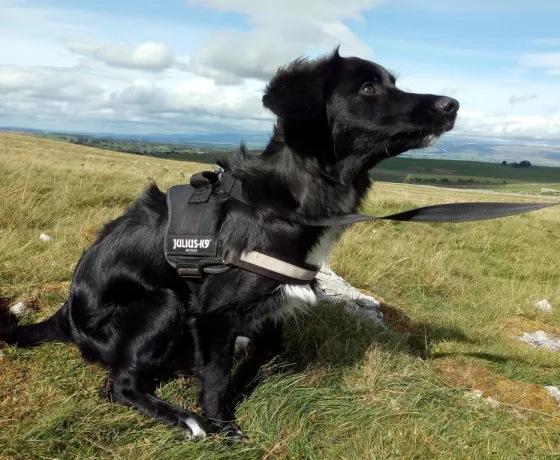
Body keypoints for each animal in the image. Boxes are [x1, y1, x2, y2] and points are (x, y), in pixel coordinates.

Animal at [1, 48, 460, 440]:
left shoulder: (273, 305)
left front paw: (246, 371)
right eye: (369, 88)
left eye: (392, 82)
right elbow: (218, 378)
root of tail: (66, 314)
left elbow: (265, 351)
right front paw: (222, 424)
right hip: (164, 303)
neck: (290, 199)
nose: (452, 104)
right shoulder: (212, 315)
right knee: (119, 386)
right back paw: (184, 419)